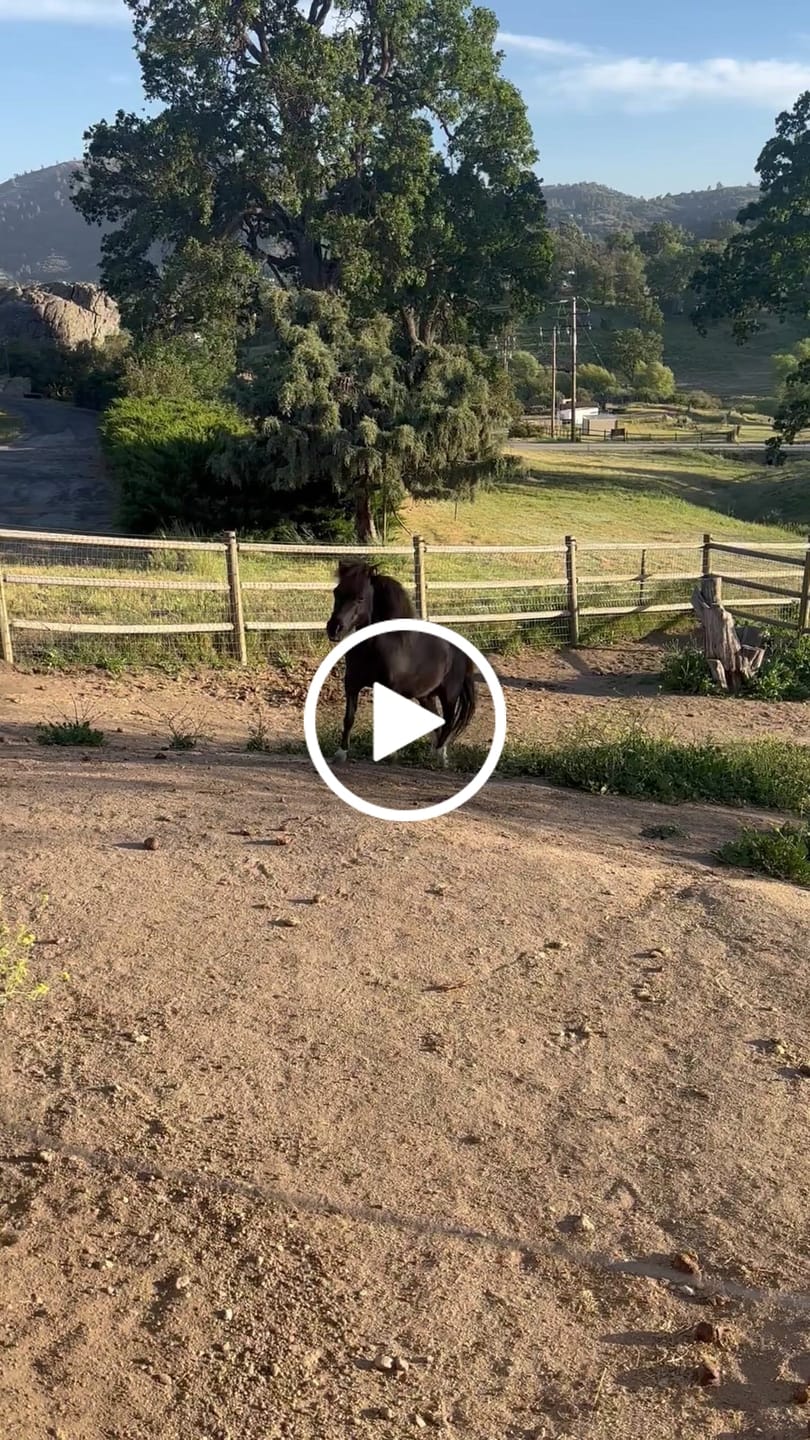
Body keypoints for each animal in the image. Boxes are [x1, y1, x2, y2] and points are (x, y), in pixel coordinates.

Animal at [325, 560, 477, 766]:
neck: (374, 649)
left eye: (360, 598)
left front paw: (391, 756)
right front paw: (340, 754)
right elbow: (348, 718)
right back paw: (436, 755)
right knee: (438, 723)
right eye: (336, 592)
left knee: (448, 722)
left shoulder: (391, 689)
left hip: (449, 695)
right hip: (426, 696)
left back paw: (441, 759)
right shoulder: (351, 685)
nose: (334, 629)